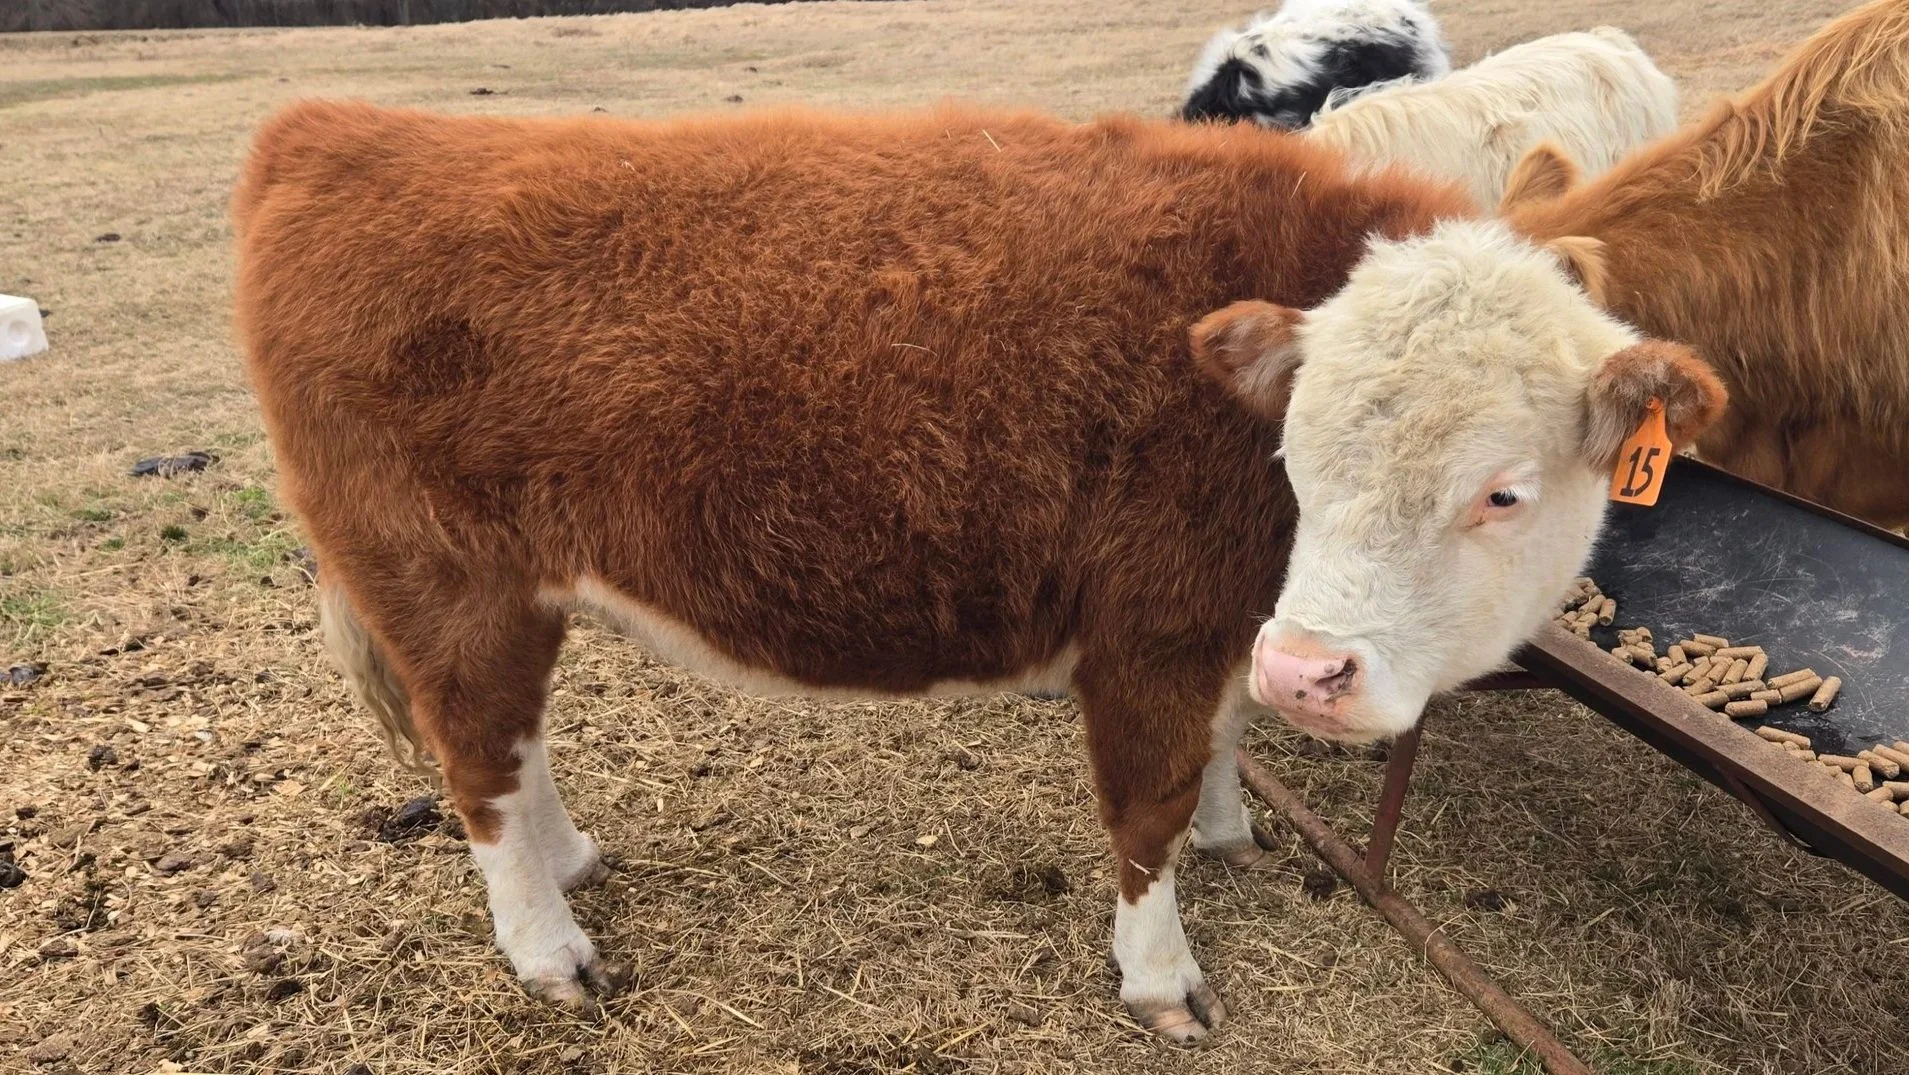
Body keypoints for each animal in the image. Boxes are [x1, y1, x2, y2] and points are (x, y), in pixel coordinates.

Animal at [232, 100, 1723, 1041]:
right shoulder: (1147, 631)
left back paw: (573, 857)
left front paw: (1232, 830)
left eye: (1500, 490)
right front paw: (1161, 974)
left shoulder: (1226, 626)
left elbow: (1221, 747)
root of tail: (334, 130)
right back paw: (546, 946)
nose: (1317, 672)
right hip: (443, 578)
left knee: (513, 744)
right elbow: (1144, 808)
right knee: (476, 759)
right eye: (1293, 451)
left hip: (507, 589)